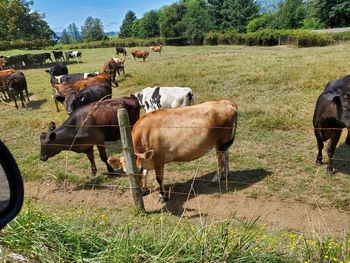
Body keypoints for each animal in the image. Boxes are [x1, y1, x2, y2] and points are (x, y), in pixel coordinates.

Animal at [107, 99, 238, 202]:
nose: (136, 191)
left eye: (137, 169)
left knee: (220, 158)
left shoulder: (159, 160)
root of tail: (226, 102)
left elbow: (158, 178)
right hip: (224, 142)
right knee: (226, 154)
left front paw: (162, 196)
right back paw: (226, 173)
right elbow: (145, 173)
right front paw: (144, 190)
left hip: (221, 141)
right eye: (125, 172)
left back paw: (217, 177)